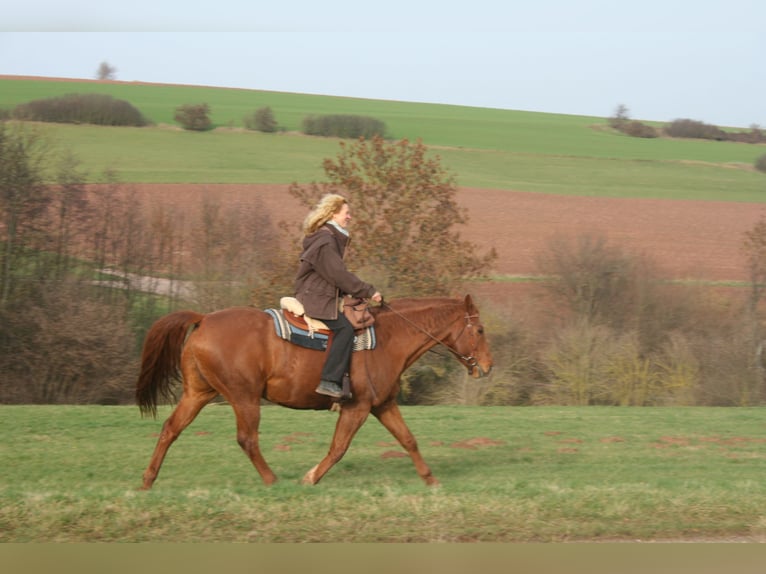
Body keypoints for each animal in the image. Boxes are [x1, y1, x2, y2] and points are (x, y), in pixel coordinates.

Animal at [136, 296, 498, 490]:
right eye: (479, 330)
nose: (487, 365)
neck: (390, 337)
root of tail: (204, 320)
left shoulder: (382, 404)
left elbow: (409, 440)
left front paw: (431, 480)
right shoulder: (358, 407)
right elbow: (338, 448)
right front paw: (310, 478)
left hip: (198, 394)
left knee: (170, 429)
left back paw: (148, 480)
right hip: (244, 397)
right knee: (247, 439)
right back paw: (272, 480)